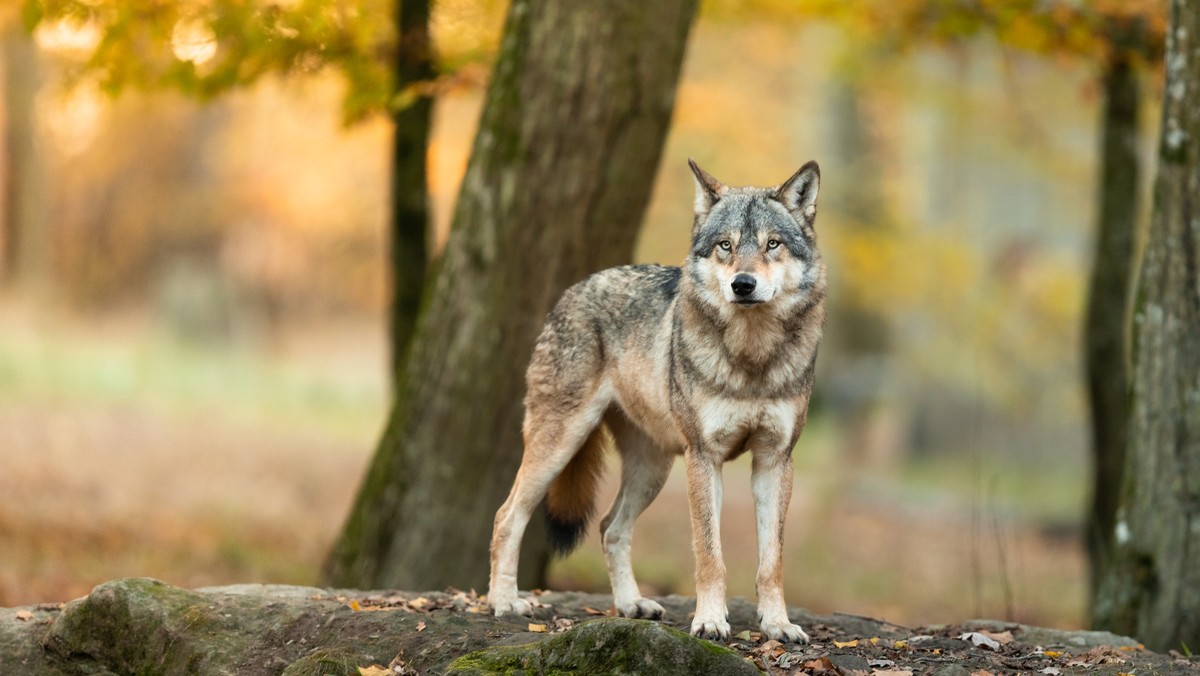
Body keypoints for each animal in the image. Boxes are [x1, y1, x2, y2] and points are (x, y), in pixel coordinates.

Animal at [487, 159, 825, 643]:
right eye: (725, 246)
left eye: (772, 244)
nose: (743, 285)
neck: (751, 359)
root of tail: (577, 287)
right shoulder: (703, 458)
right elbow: (709, 554)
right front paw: (709, 621)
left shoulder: (775, 460)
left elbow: (771, 561)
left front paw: (778, 624)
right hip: (560, 444)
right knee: (507, 516)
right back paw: (504, 602)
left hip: (652, 468)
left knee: (610, 528)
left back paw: (631, 605)